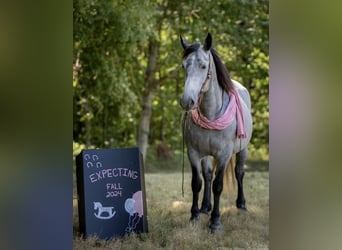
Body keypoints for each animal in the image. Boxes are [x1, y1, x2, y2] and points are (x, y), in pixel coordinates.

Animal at [180, 32, 252, 230]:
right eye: (184, 66)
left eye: (203, 66)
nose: (187, 101)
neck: (212, 114)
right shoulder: (194, 152)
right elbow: (197, 183)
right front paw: (194, 215)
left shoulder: (224, 154)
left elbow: (218, 186)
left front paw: (215, 222)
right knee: (207, 175)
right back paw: (205, 207)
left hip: (243, 149)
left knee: (239, 172)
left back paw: (241, 205)